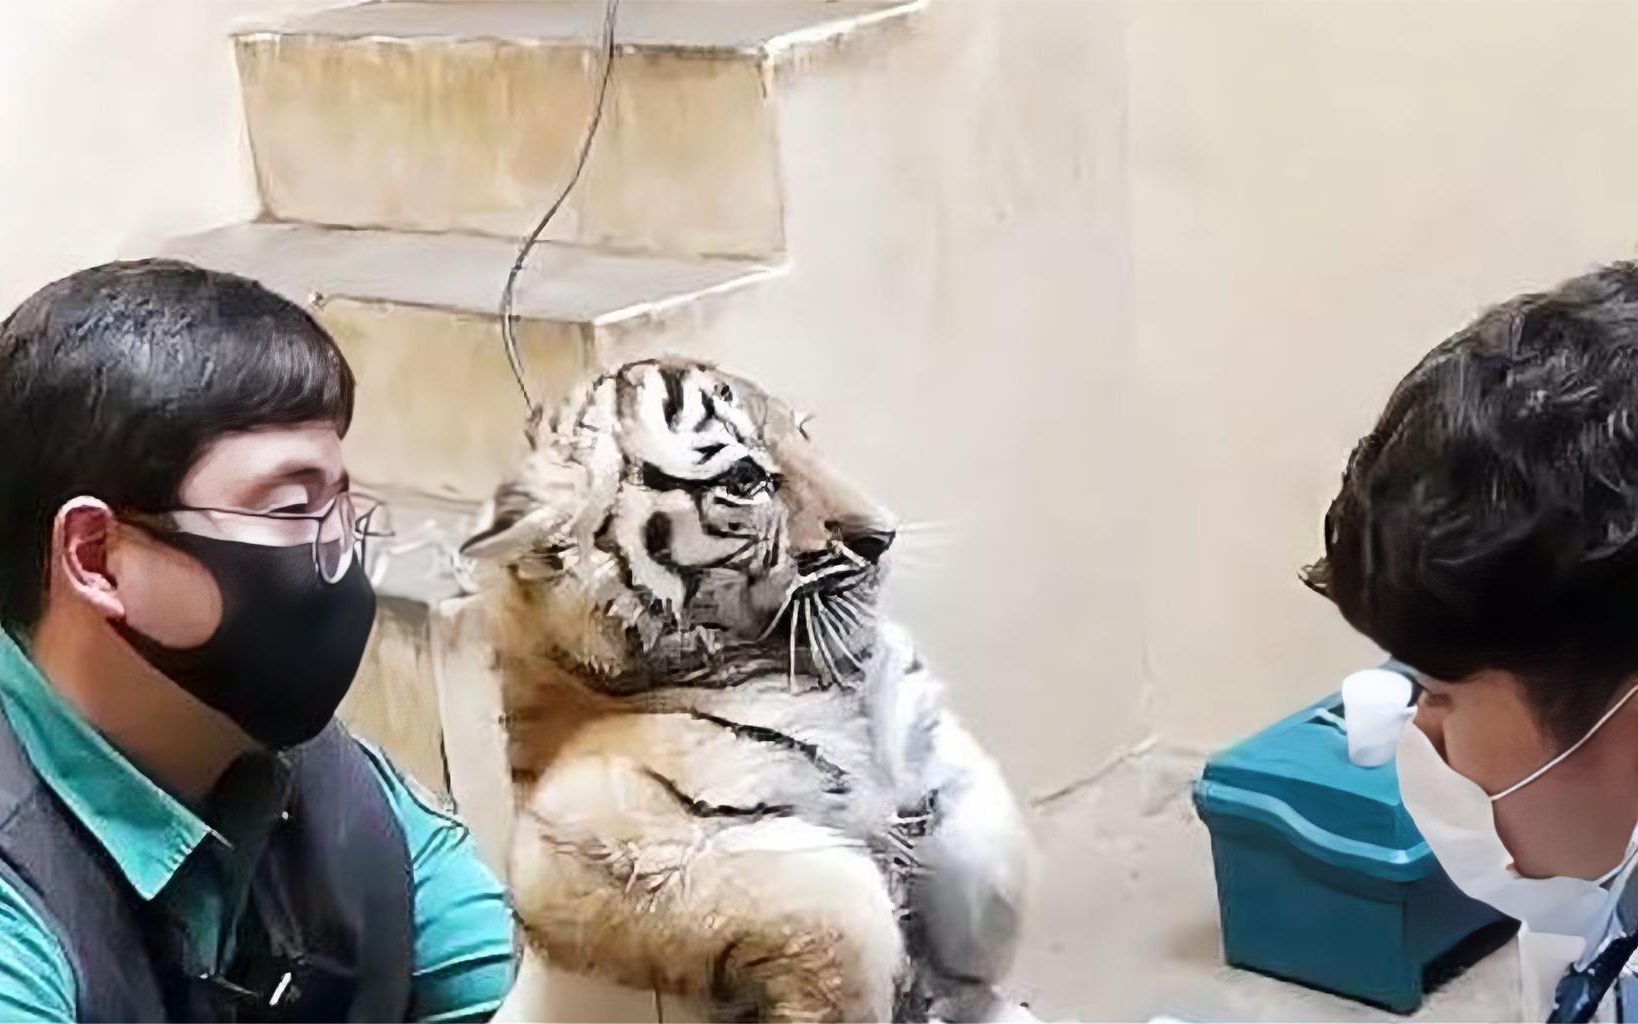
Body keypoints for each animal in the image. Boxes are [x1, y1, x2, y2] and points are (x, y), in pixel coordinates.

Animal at [461, 357, 1033, 1023]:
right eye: (744, 477)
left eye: (805, 435)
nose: (882, 536)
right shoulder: (591, 834)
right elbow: (842, 901)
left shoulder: (921, 732)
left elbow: (991, 852)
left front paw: (967, 981)